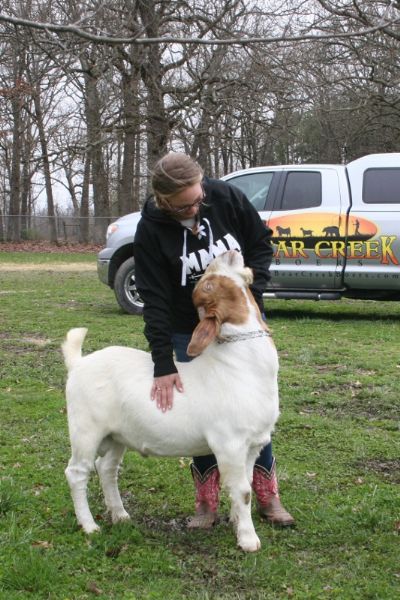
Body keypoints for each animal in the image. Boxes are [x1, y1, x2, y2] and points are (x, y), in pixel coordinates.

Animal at [63, 250, 282, 552]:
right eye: (207, 285)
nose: (227, 252)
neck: (239, 365)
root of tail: (79, 363)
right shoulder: (230, 443)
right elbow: (242, 491)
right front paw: (249, 540)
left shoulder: (253, 445)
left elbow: (245, 486)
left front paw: (238, 523)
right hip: (86, 429)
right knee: (77, 472)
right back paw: (89, 526)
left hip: (118, 435)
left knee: (106, 468)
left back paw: (120, 515)